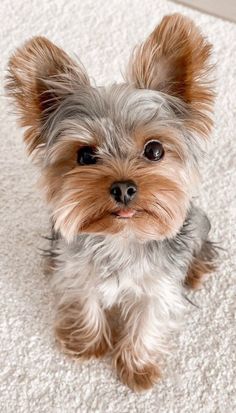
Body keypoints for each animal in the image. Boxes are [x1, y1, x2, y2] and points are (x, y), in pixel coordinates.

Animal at [6, 13, 218, 390]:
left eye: (154, 150)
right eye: (85, 155)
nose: (123, 188)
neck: (122, 237)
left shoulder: (158, 287)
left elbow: (149, 321)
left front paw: (138, 368)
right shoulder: (78, 271)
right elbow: (85, 300)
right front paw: (87, 343)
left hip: (197, 222)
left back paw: (195, 271)